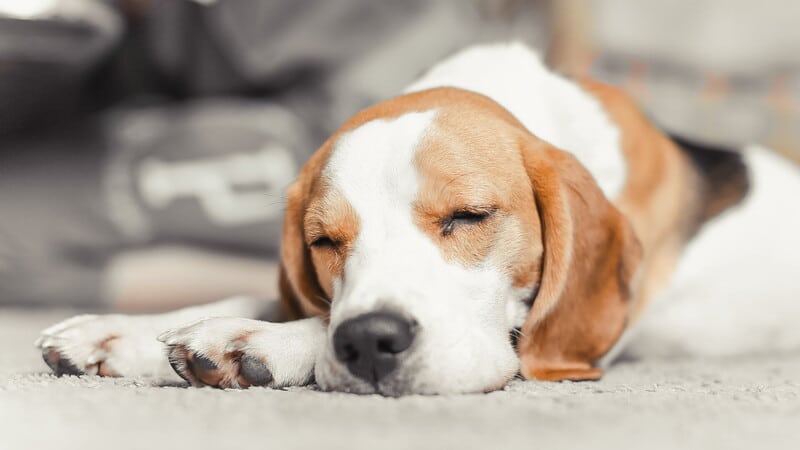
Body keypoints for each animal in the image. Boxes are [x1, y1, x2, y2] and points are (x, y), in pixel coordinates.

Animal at [36, 42, 800, 394]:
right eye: (325, 241)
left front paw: (262, 342)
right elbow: (254, 293)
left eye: (468, 216)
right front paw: (119, 334)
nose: (371, 342)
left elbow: (302, 322)